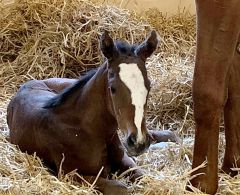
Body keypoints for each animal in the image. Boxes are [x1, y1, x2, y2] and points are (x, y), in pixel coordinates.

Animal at [7, 31, 160, 194]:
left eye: (149, 86)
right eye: (112, 88)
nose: (138, 142)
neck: (88, 128)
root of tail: (27, 84)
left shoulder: (125, 160)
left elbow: (144, 177)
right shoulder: (70, 175)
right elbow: (121, 187)